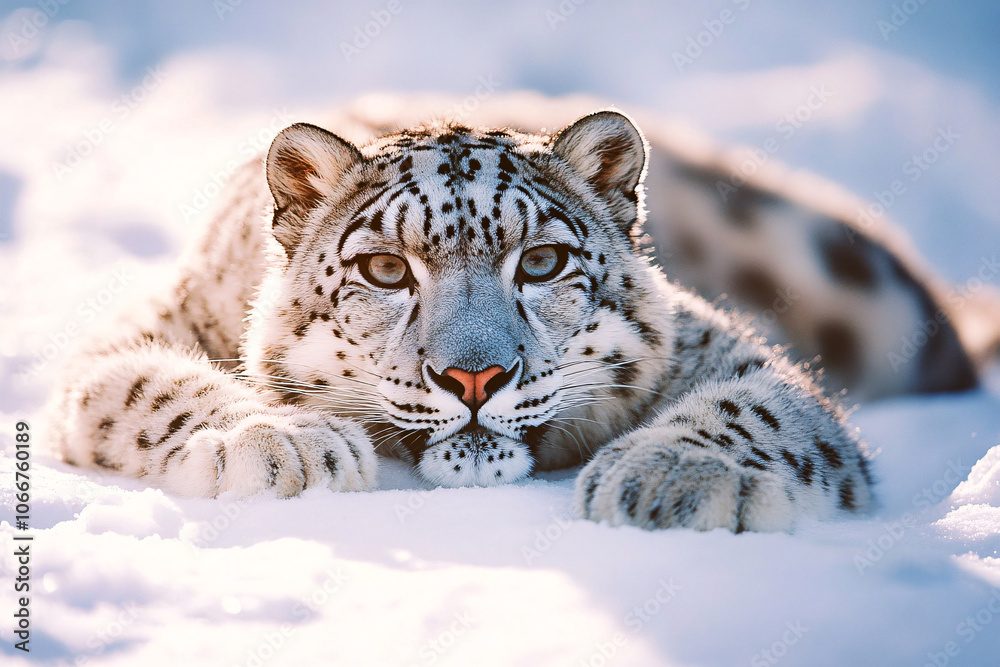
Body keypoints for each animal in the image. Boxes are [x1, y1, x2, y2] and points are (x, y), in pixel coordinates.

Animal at [47, 108, 891, 532]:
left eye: (542, 261)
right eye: (386, 270)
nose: (474, 376)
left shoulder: (712, 344)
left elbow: (763, 405)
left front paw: (673, 474)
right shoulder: (158, 323)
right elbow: (144, 383)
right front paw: (283, 441)